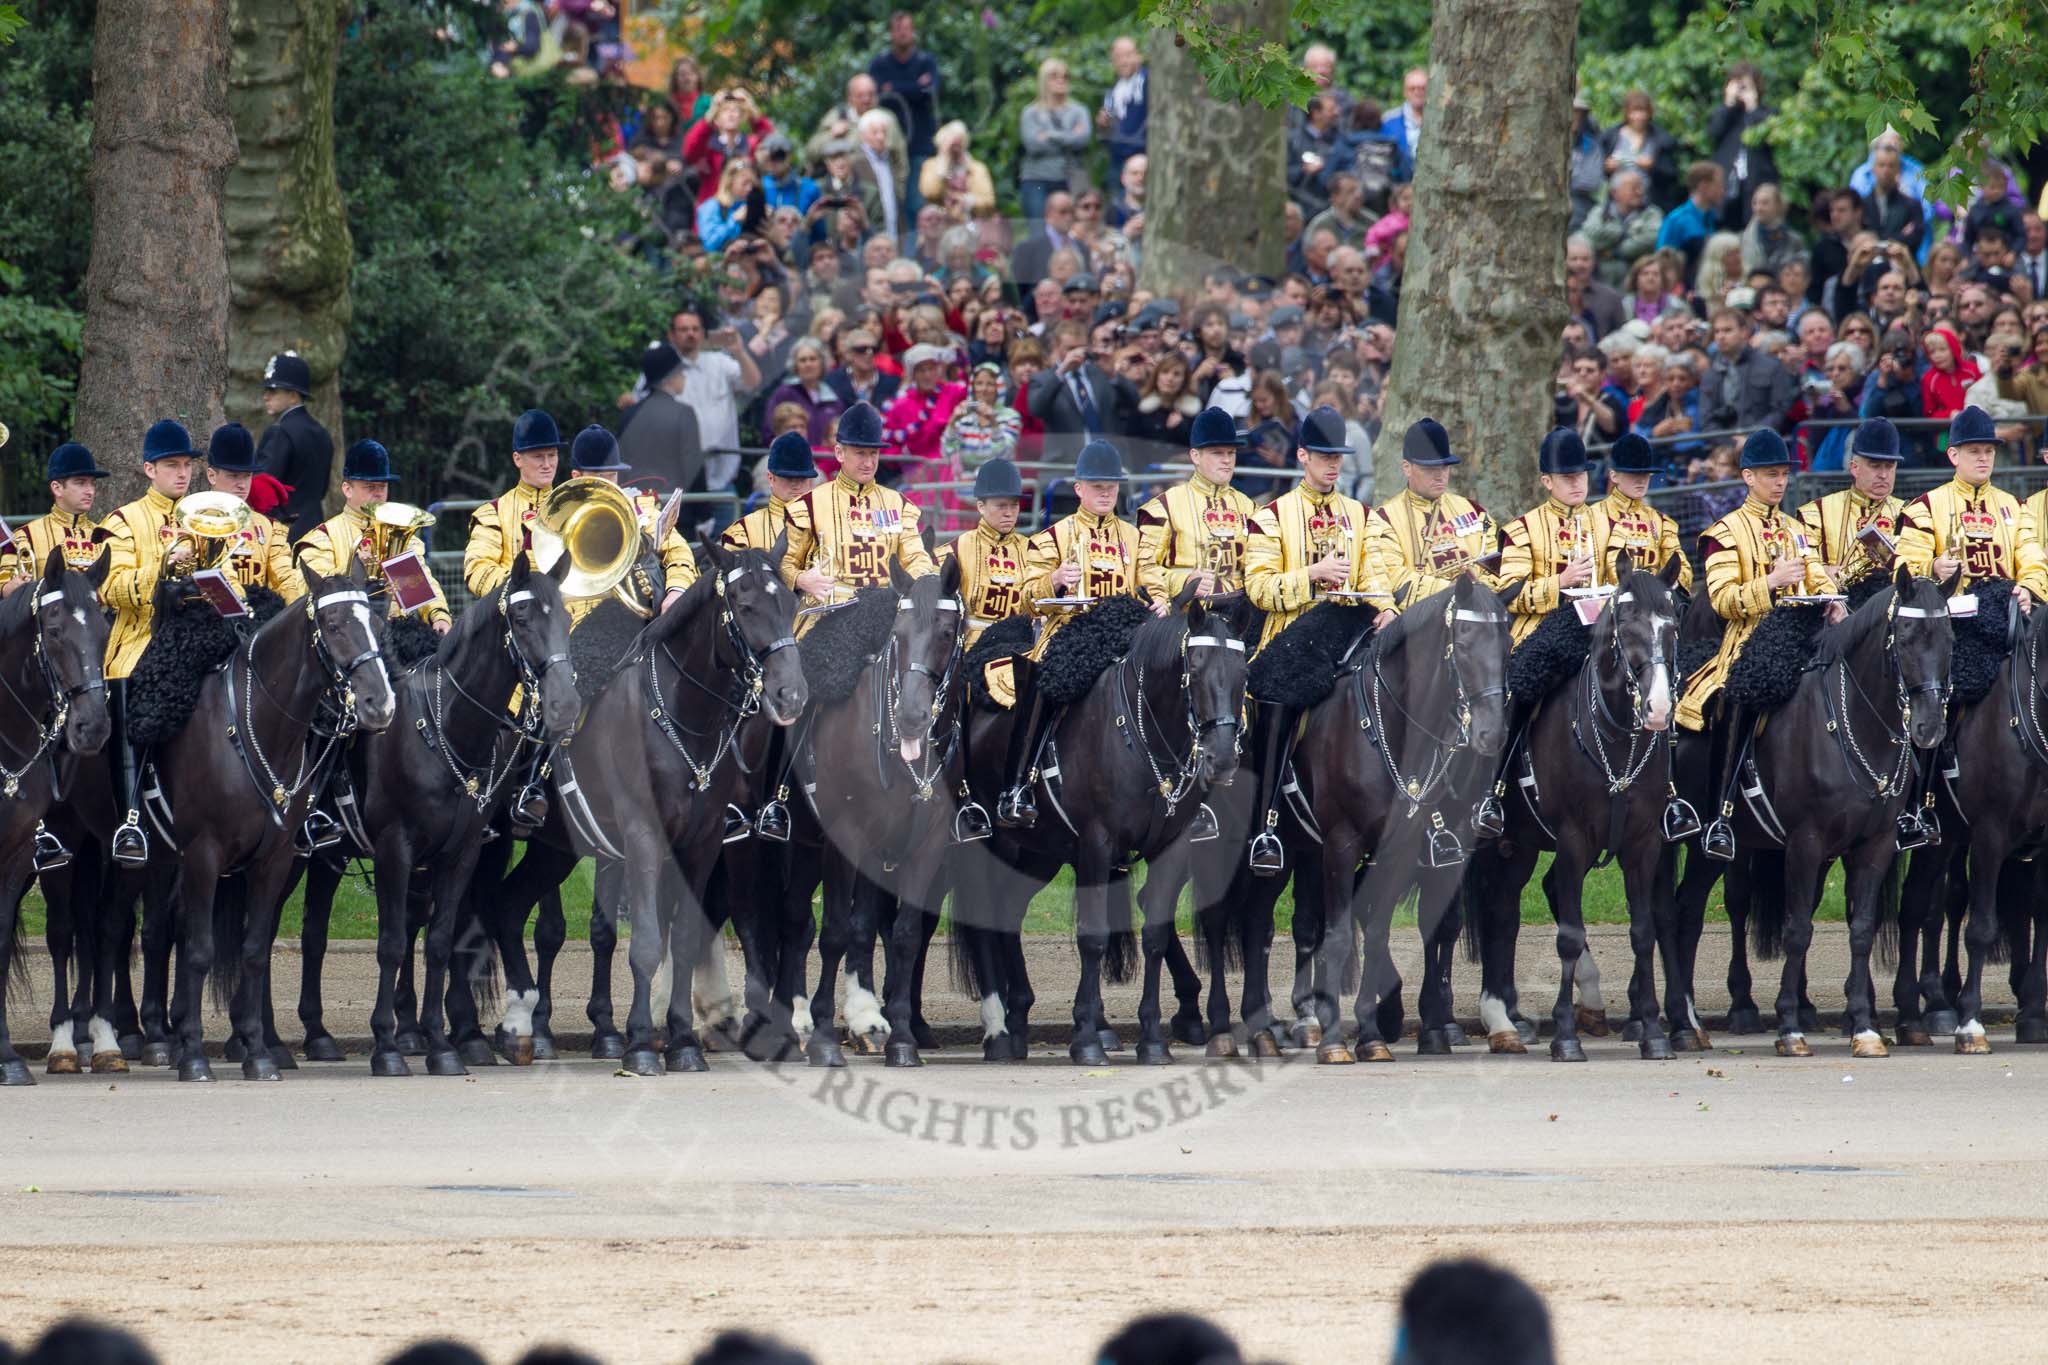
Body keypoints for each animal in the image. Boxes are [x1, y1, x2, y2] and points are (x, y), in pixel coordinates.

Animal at [954, 589, 1253, 1064]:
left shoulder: (1171, 846)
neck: (1144, 737)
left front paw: (1151, 1039)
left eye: (1243, 672)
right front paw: (1087, 1038)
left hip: (1037, 854)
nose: (1222, 759)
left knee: (1009, 913)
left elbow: (1155, 933)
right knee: (986, 917)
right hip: (989, 843)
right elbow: (1093, 937)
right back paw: (998, 1033)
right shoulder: (1097, 845)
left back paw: (1017, 1021)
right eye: (1195, 669)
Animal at [1474, 548, 1695, 1064]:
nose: (1658, 708)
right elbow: (1570, 936)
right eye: (1625, 623)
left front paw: (1653, 1031)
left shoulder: (1644, 843)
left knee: (1504, 910)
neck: (1615, 737)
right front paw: (1565, 1035)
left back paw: (1510, 1019)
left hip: (1518, 846)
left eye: (1672, 623)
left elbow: (1643, 930)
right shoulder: (1574, 841)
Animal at [1671, 564, 1957, 1055]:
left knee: (1687, 908)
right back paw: (1685, 1021)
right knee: (1683, 909)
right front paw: (1790, 1027)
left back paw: (1691, 1024)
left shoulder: (1875, 844)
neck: (1851, 723)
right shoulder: (1805, 843)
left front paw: (1864, 1027)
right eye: (1904, 636)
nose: (1928, 727)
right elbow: (1798, 928)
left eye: (1951, 639)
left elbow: (1861, 927)